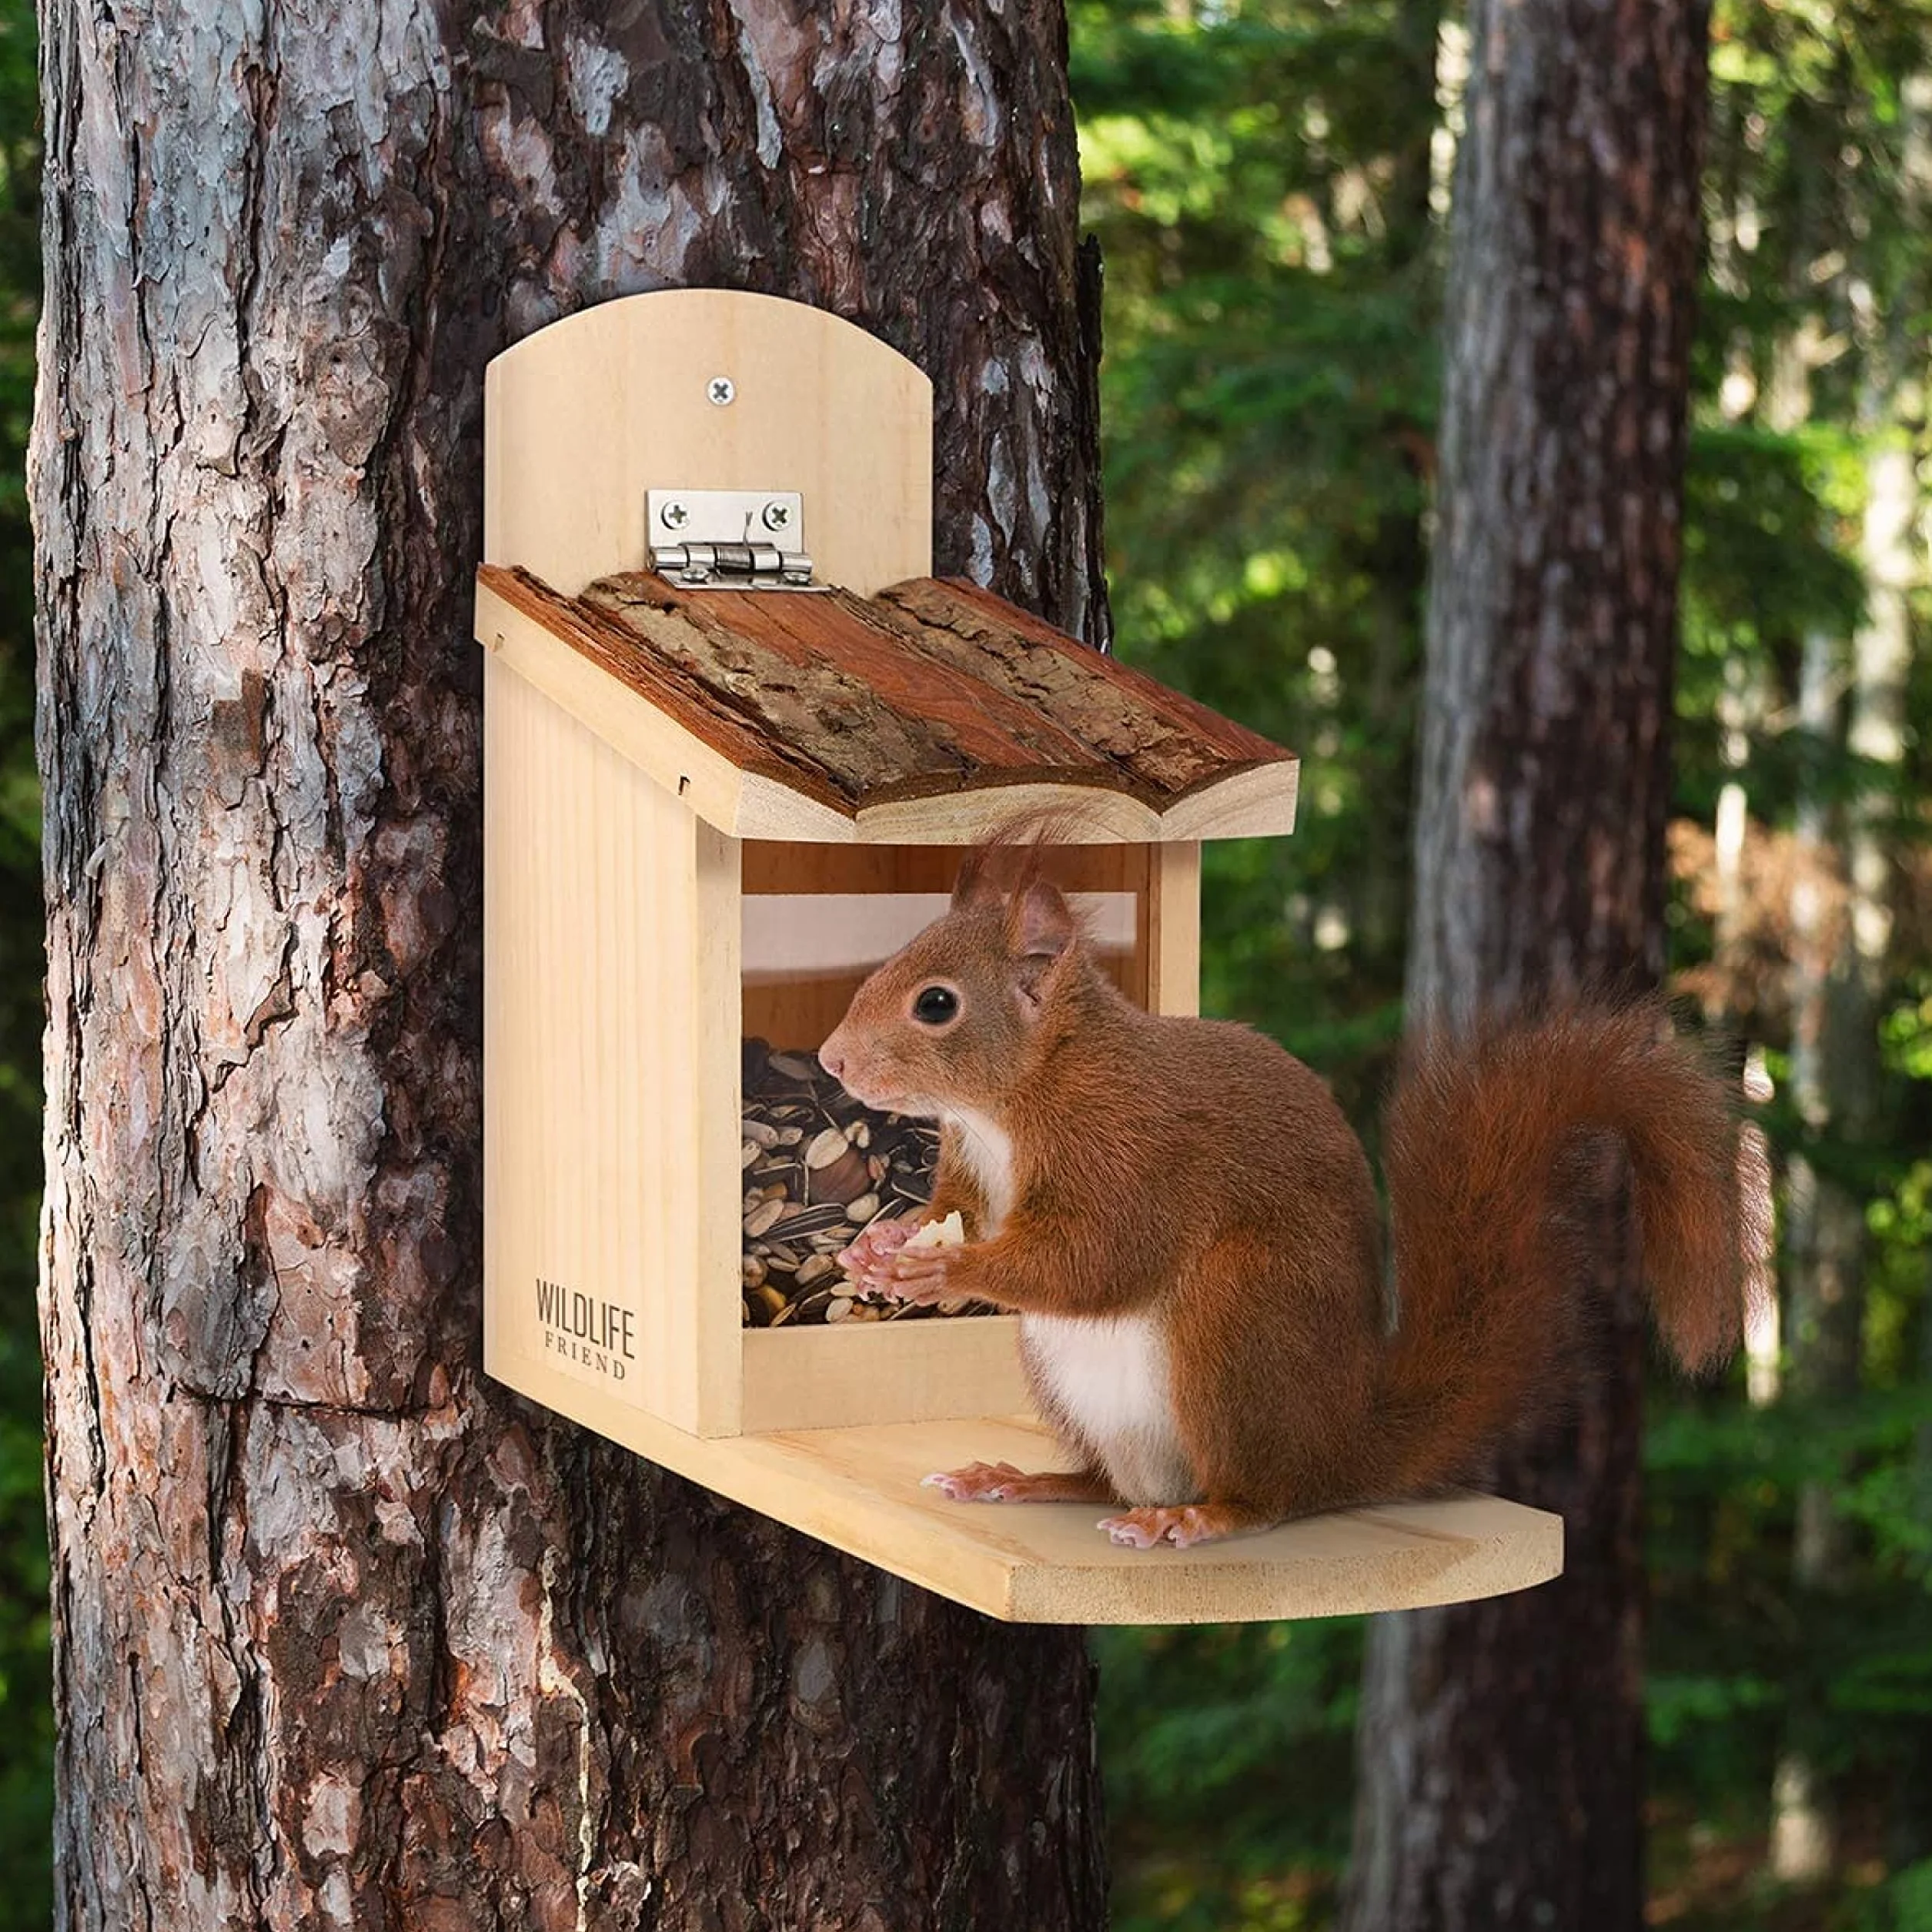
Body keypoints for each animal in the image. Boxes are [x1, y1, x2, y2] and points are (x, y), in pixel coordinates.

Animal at [818, 837, 1752, 1551]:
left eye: (936, 1003)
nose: (831, 1060)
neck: (1009, 1105)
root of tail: (1341, 1445)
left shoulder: (1130, 1150)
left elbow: (1097, 1259)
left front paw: (941, 1271)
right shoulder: (972, 1169)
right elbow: (960, 1213)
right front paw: (877, 1248)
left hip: (1239, 1315)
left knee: (1265, 1495)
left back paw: (1197, 1517)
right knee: (1108, 1483)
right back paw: (1027, 1480)